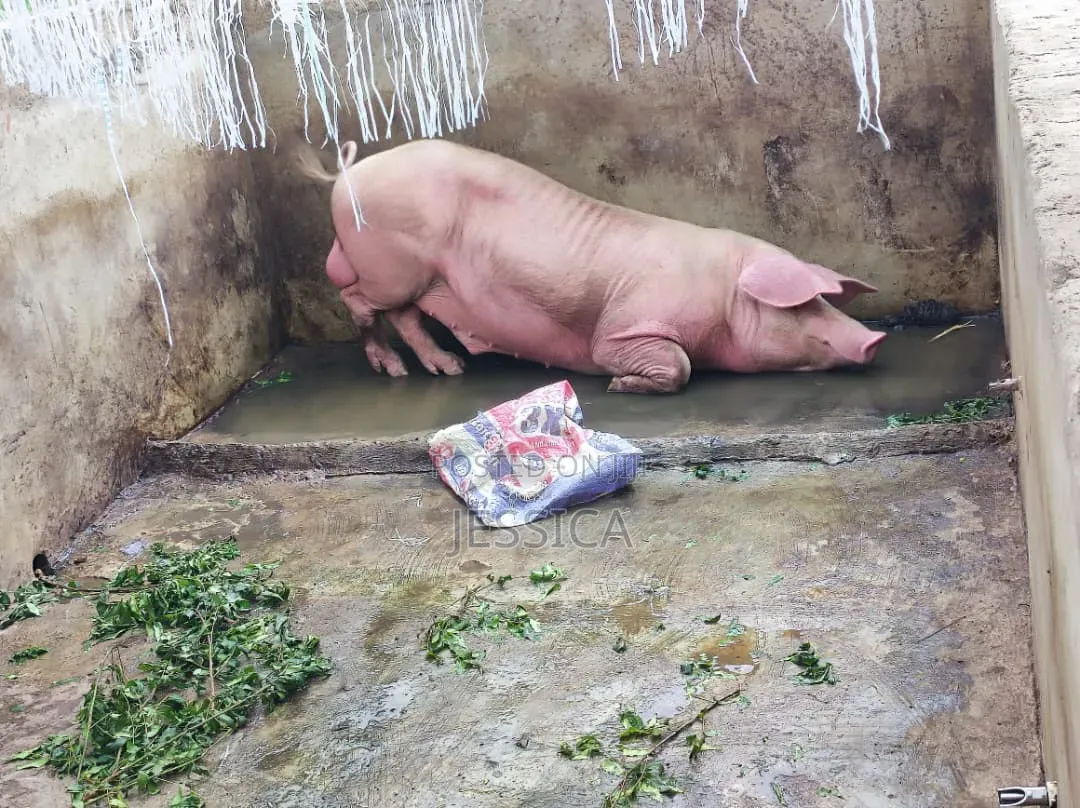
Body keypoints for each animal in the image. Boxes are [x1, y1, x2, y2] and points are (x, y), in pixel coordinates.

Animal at [296, 138, 886, 394]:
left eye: (825, 298)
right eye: (800, 307)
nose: (876, 339)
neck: (722, 296)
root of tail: (345, 175)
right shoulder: (626, 326)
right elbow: (672, 363)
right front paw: (619, 385)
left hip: (413, 276)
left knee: (407, 316)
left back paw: (449, 369)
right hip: (389, 266)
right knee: (361, 303)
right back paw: (395, 370)